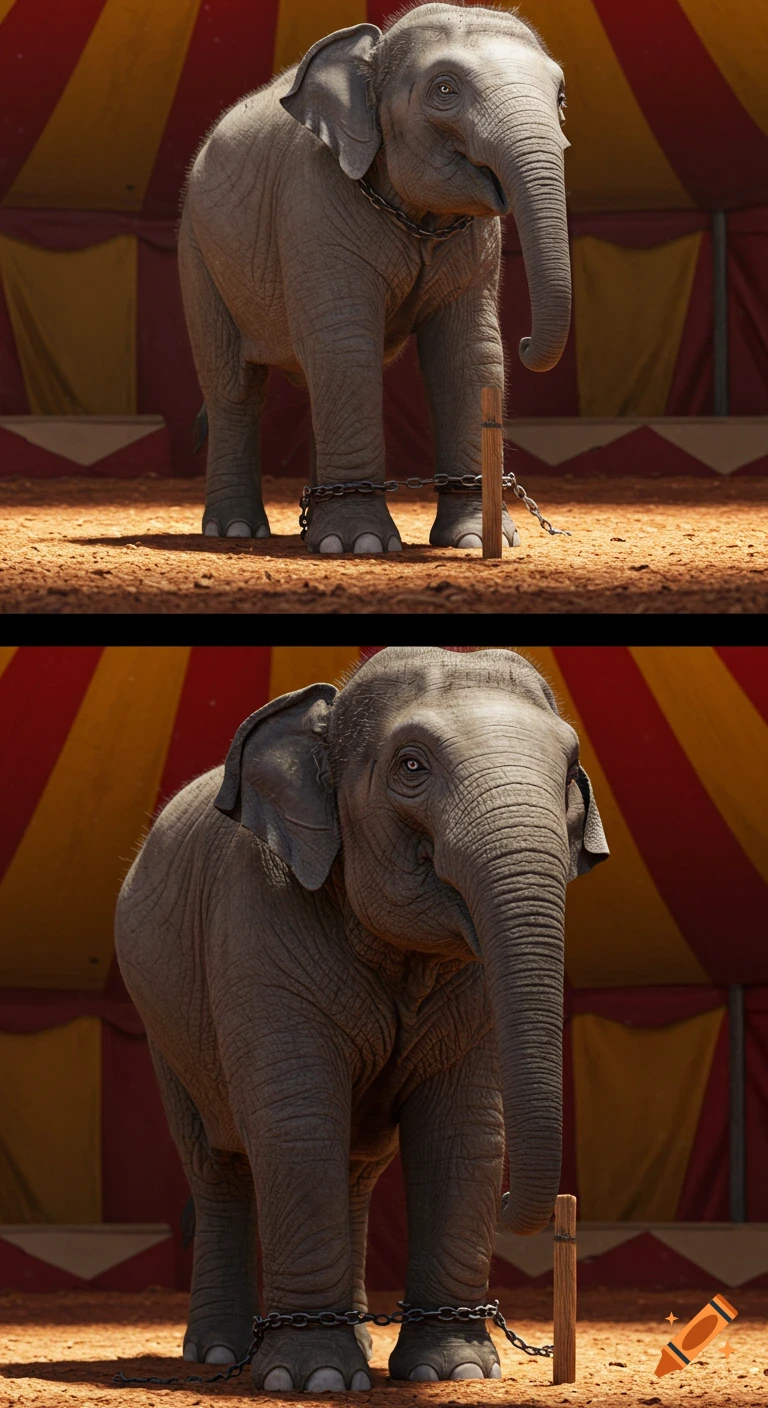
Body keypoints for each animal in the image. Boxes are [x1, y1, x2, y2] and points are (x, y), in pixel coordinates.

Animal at [115, 647, 607, 1393]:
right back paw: (219, 1354)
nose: (534, 1206)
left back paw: (360, 1342)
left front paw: (454, 1373)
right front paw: (312, 1380)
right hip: (163, 1021)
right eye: (411, 765)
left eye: (570, 766)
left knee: (356, 1168)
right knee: (216, 1164)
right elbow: (296, 1124)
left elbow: (464, 1130)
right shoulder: (256, 922)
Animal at [178, 1, 570, 553]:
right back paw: (236, 530)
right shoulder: (313, 197)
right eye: (444, 89)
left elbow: (469, 352)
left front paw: (475, 541)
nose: (528, 340)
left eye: (560, 97)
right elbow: (345, 344)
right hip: (197, 250)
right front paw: (358, 545)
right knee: (234, 386)